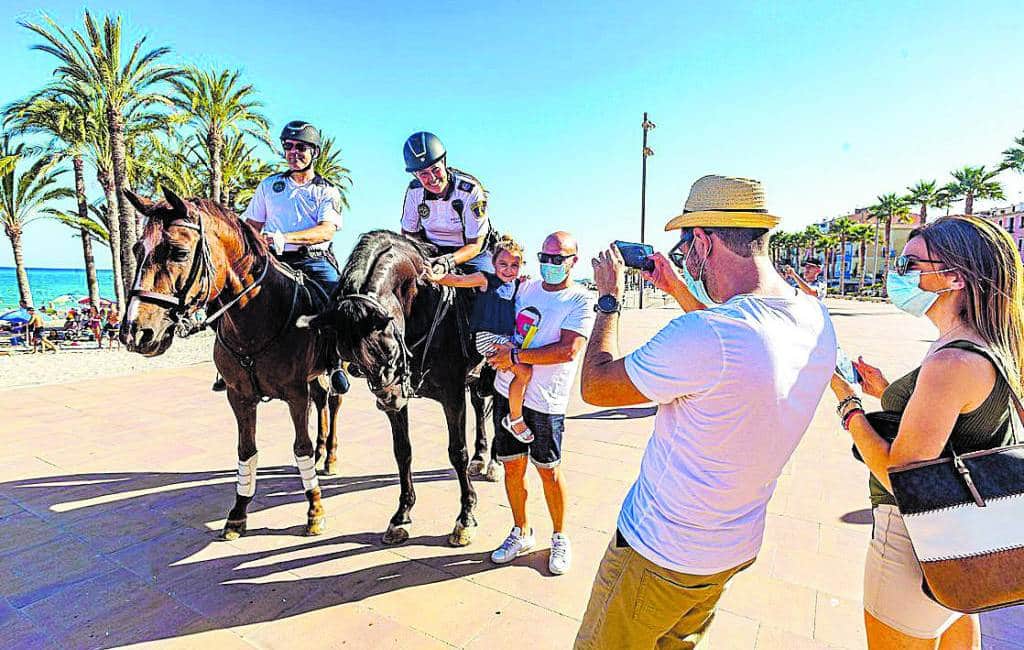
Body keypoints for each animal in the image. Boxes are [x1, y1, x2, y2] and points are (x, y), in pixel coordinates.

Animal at [119, 187, 344, 540]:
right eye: (137, 249)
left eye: (179, 253)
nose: (135, 332)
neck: (256, 317)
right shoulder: (239, 396)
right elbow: (246, 451)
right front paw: (238, 513)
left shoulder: (295, 394)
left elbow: (301, 448)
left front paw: (315, 510)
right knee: (321, 401)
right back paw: (324, 451)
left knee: (333, 403)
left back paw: (330, 455)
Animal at [299, 231, 489, 548]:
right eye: (352, 361)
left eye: (387, 346)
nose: (388, 398)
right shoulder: (399, 401)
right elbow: (403, 451)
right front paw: (401, 515)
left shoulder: (452, 395)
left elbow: (457, 452)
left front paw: (465, 518)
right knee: (479, 404)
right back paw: (482, 455)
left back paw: (492, 461)